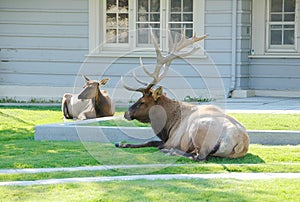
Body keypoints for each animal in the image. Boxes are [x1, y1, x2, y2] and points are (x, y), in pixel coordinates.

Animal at [116, 28, 250, 161]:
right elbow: (150, 142)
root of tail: (240, 143)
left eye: (142, 101)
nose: (126, 113)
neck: (168, 125)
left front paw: (123, 144)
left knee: (199, 157)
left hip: (198, 130)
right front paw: (121, 143)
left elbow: (151, 142)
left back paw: (170, 152)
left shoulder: (172, 140)